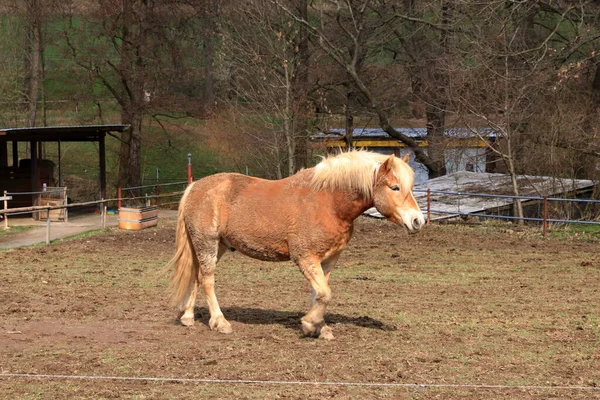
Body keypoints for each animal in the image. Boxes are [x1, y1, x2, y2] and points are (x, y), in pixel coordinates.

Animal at [166, 152, 424, 340]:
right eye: (394, 187)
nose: (418, 221)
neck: (328, 202)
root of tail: (194, 187)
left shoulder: (327, 260)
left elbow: (319, 294)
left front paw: (320, 327)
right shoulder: (305, 257)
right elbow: (324, 293)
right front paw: (310, 324)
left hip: (215, 247)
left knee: (198, 276)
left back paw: (188, 318)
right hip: (207, 244)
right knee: (208, 280)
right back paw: (220, 322)